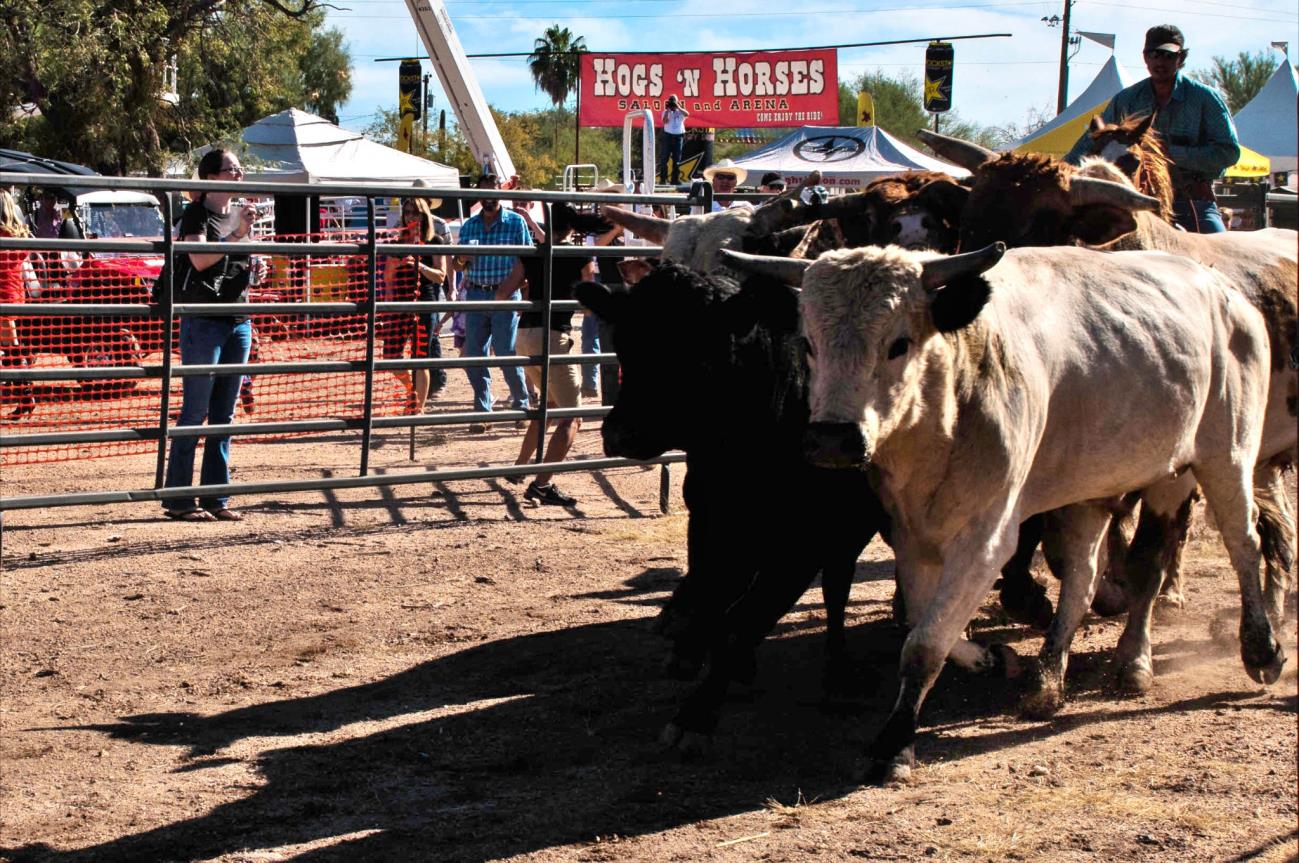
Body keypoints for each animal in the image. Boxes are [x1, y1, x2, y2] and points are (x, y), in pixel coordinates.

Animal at [774, 240, 1273, 779]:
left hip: (1220, 454)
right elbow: (924, 622)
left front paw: (895, 743)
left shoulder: (987, 537)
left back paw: (1242, 650)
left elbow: (924, 646)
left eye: (898, 344)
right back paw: (1048, 676)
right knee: (1084, 576)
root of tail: (1223, 289)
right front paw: (988, 658)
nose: (832, 440)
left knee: (1232, 545)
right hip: (1100, 486)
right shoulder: (910, 536)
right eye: (809, 343)